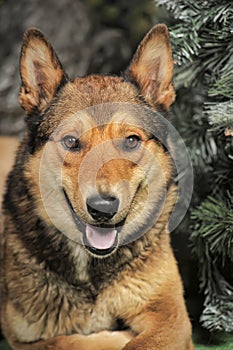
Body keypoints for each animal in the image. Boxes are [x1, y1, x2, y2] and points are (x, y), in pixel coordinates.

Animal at [0, 23, 193, 348]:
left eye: (131, 140)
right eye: (71, 141)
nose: (103, 208)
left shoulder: (171, 316)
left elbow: (141, 342)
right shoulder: (20, 337)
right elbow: (67, 341)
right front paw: (111, 336)